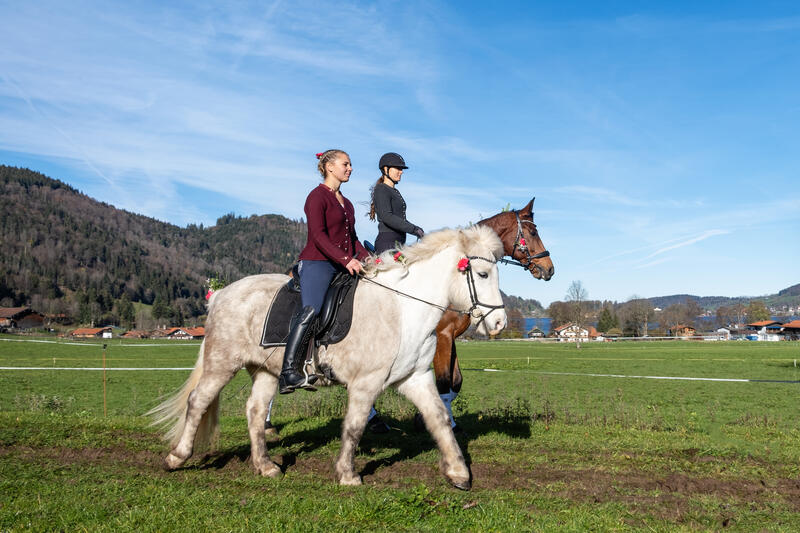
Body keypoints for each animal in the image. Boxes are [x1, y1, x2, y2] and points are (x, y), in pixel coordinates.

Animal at [150, 222, 506, 488]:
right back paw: (176, 457)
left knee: (255, 411)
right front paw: (347, 474)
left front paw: (459, 473)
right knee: (198, 401)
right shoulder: (365, 384)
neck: (403, 308)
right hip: (222, 363)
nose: (500, 323)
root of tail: (222, 293)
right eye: (483, 274)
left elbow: (440, 419)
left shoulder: (415, 378)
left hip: (265, 371)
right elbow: (354, 426)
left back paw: (266, 466)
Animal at [428, 197, 552, 430]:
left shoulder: (451, 336)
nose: (550, 268)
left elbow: (455, 382)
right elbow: (443, 384)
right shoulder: (441, 336)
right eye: (533, 233)